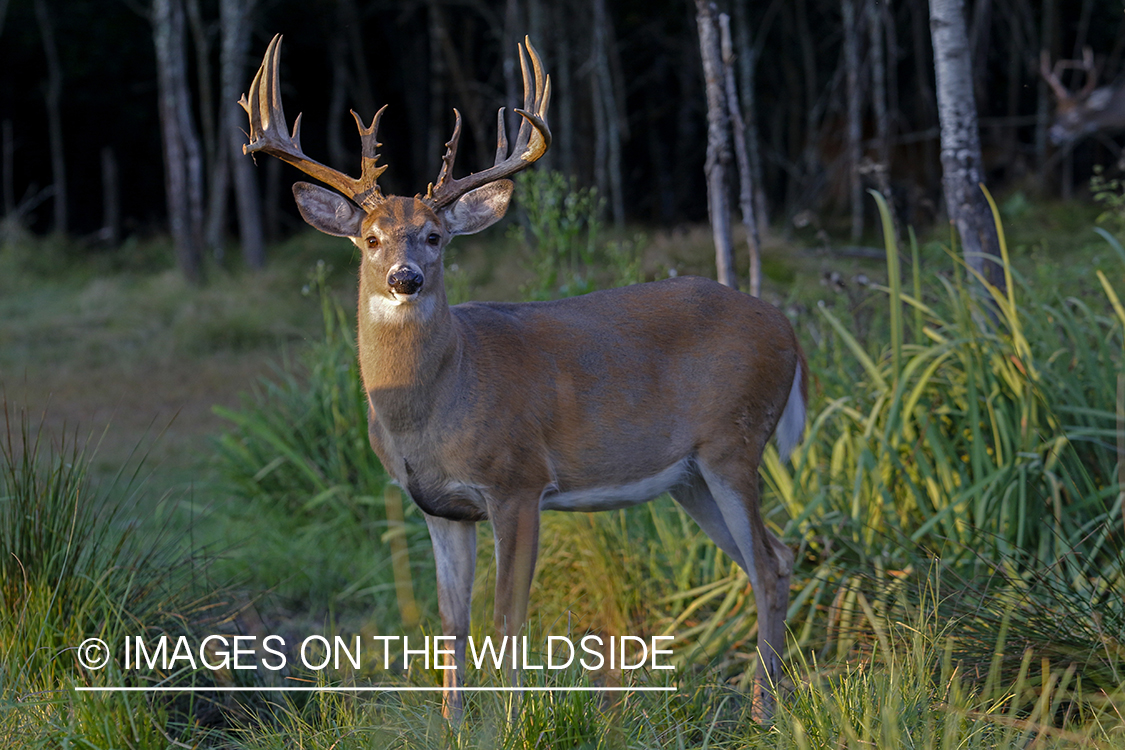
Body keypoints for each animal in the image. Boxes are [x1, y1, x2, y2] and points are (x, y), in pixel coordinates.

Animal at [237, 32, 805, 724]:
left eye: (434, 236)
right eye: (370, 238)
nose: (405, 277)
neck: (439, 405)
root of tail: (787, 328)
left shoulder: (518, 481)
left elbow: (508, 617)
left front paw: (514, 720)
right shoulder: (438, 506)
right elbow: (451, 621)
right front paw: (454, 725)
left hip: (735, 441)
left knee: (770, 564)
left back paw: (764, 711)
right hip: (688, 476)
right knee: (773, 559)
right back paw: (765, 702)